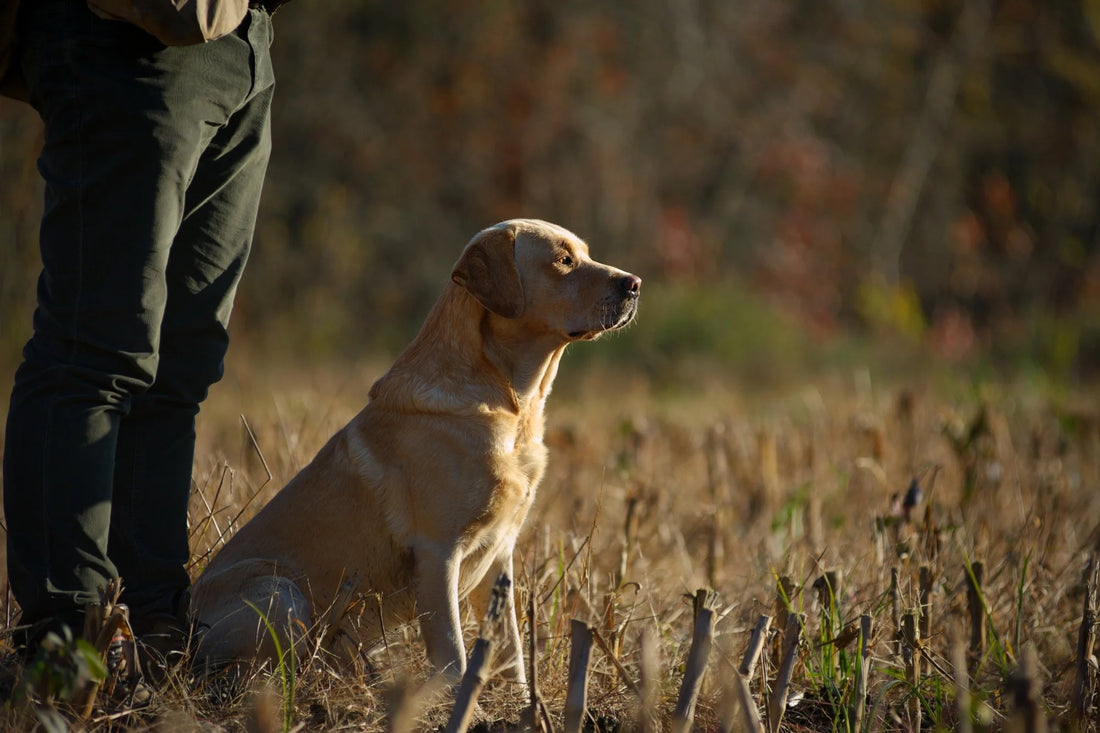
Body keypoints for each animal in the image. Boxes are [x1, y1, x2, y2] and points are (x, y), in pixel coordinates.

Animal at [185, 216, 642, 677]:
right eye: (564, 261)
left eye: (584, 253)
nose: (635, 283)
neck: (513, 406)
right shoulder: (438, 554)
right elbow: (454, 656)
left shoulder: (499, 557)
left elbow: (510, 652)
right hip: (279, 592)